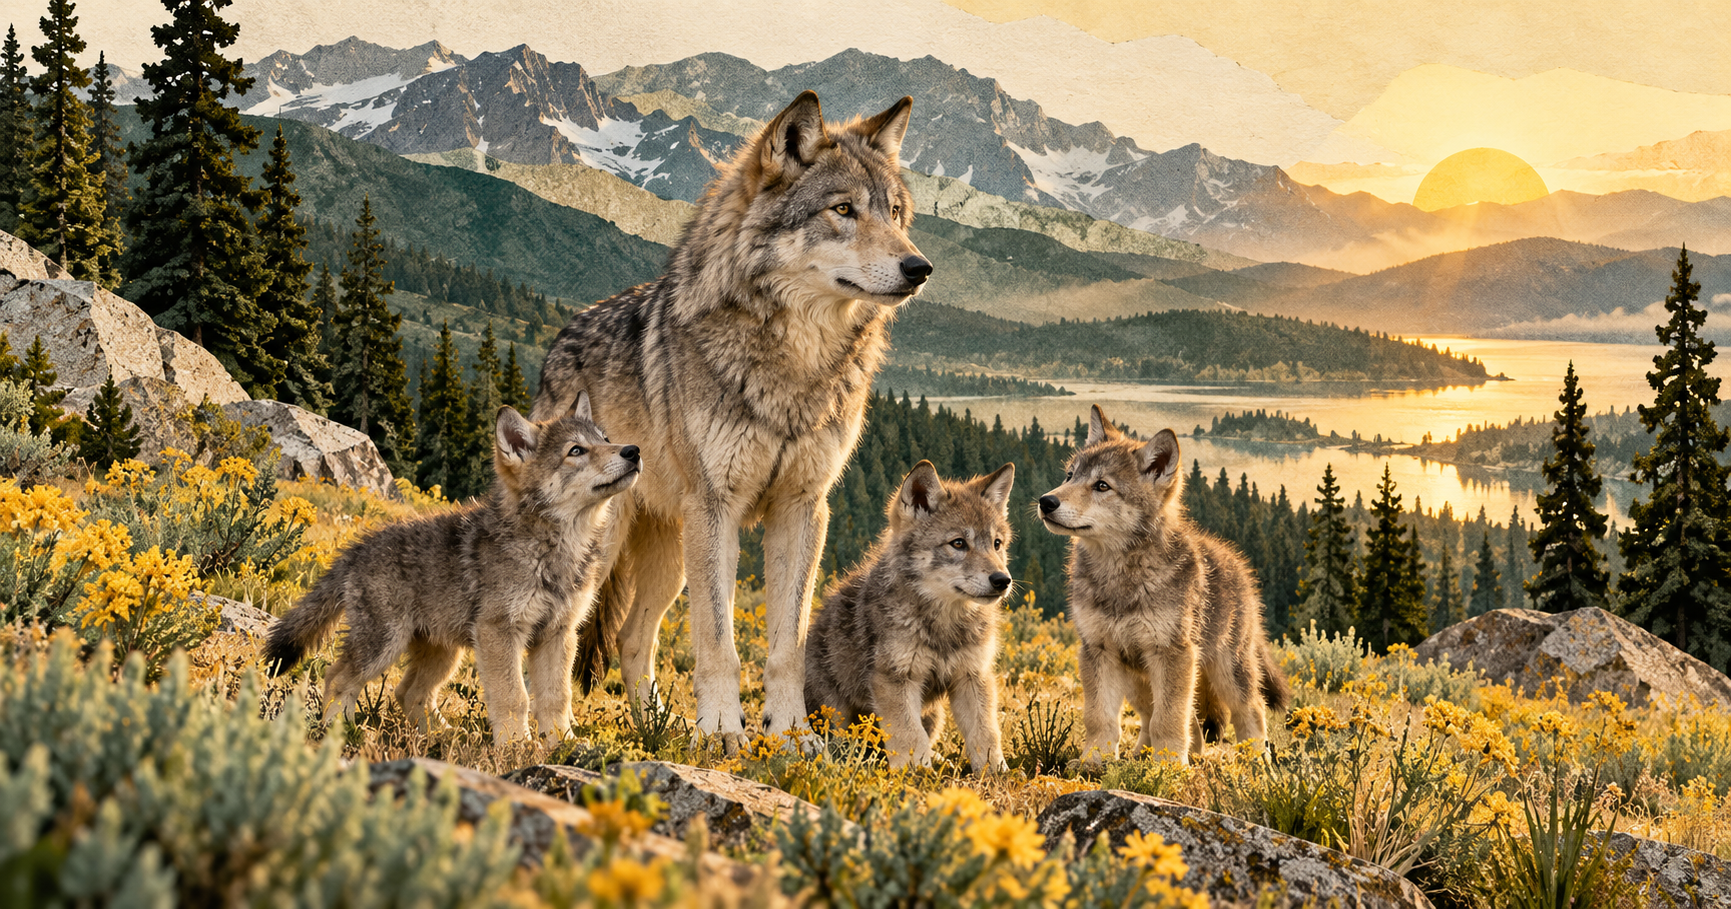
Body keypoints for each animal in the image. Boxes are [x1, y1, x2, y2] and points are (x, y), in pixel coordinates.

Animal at [263, 395, 640, 744]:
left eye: (606, 439)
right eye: (576, 450)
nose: (633, 451)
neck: (554, 551)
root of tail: (358, 546)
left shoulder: (558, 634)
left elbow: (556, 698)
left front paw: (562, 745)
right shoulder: (498, 633)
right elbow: (514, 698)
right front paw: (517, 747)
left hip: (444, 653)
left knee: (408, 692)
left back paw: (441, 736)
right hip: (385, 645)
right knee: (338, 676)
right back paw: (340, 730)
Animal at [532, 90, 930, 747]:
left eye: (895, 213)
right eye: (843, 209)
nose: (919, 268)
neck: (795, 364)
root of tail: (558, 341)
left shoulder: (803, 507)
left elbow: (787, 645)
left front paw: (792, 736)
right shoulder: (717, 508)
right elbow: (718, 641)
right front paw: (722, 732)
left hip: (672, 558)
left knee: (632, 638)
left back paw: (659, 725)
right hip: (613, 545)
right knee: (561, 632)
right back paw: (554, 729)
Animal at [804, 461, 1015, 773]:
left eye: (997, 544)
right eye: (958, 543)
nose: (1002, 580)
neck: (945, 624)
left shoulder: (972, 676)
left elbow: (985, 732)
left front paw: (996, 774)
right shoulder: (895, 679)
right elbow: (909, 735)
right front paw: (918, 774)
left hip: (935, 714)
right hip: (835, 712)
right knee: (844, 743)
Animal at [1038, 405, 1290, 766]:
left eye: (1102, 486)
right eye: (1069, 475)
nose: (1045, 502)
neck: (1122, 579)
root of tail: (1240, 565)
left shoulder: (1172, 654)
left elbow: (1169, 719)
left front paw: (1169, 766)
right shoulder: (1098, 651)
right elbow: (1100, 717)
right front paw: (1094, 761)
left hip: (1226, 671)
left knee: (1250, 710)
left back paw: (1254, 761)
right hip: (1138, 678)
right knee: (1171, 719)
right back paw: (1146, 756)